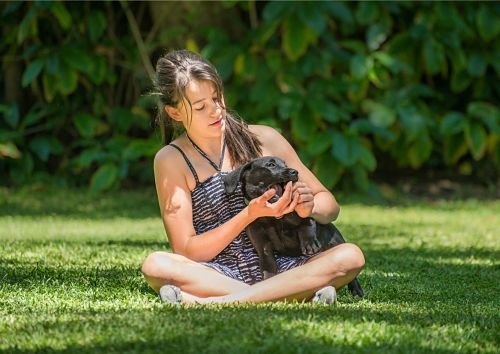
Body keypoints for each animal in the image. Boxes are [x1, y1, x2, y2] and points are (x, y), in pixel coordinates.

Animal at [226, 156, 364, 298]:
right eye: (271, 165)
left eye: (285, 164)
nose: (295, 172)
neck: (273, 217)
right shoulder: (263, 248)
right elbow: (269, 271)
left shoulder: (304, 211)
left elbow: (307, 222)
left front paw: (309, 242)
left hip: (336, 242)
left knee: (353, 276)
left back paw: (357, 291)